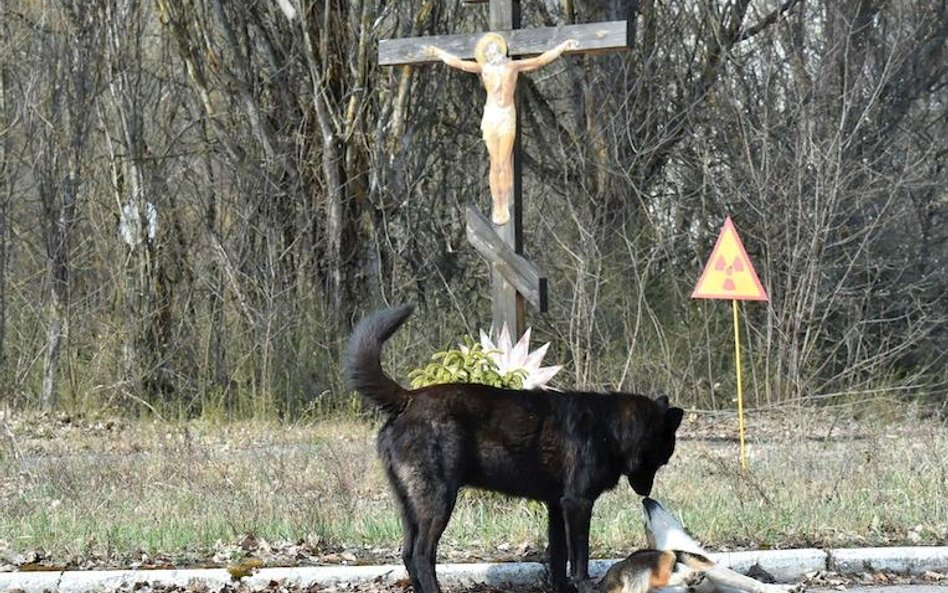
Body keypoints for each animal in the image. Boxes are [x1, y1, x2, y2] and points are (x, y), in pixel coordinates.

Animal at [344, 306, 684, 592]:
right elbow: (580, 557)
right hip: (439, 501)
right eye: (662, 458)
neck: (611, 428)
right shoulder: (578, 503)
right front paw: (585, 586)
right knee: (421, 555)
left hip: (411, 506)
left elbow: (558, 558)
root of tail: (409, 398)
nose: (646, 493)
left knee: (406, 554)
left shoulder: (557, 507)